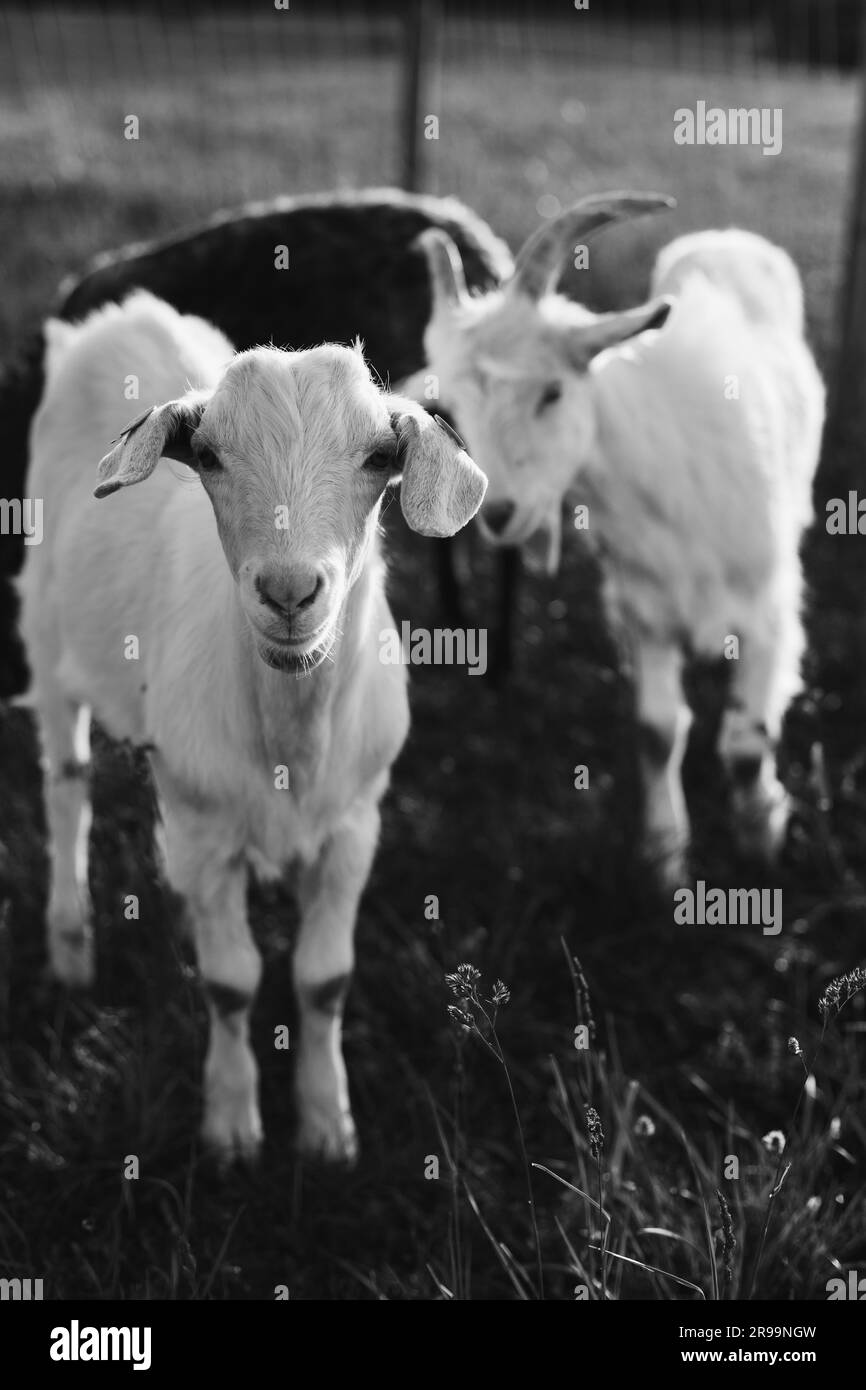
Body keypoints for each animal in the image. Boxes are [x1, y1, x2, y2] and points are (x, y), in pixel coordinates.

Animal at [18, 290, 489, 1162]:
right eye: (205, 454)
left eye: (381, 455)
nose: (290, 591)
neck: (289, 738)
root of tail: (112, 314)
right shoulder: (204, 824)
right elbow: (233, 983)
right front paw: (233, 1128)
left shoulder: (354, 825)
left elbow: (323, 979)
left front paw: (327, 1126)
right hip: (43, 628)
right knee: (66, 788)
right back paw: (70, 948)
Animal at [414, 194, 828, 884]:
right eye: (456, 409)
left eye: (553, 391)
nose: (497, 514)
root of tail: (726, 235)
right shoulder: (647, 609)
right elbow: (657, 733)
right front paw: (665, 857)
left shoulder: (769, 611)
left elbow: (748, 743)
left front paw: (761, 834)